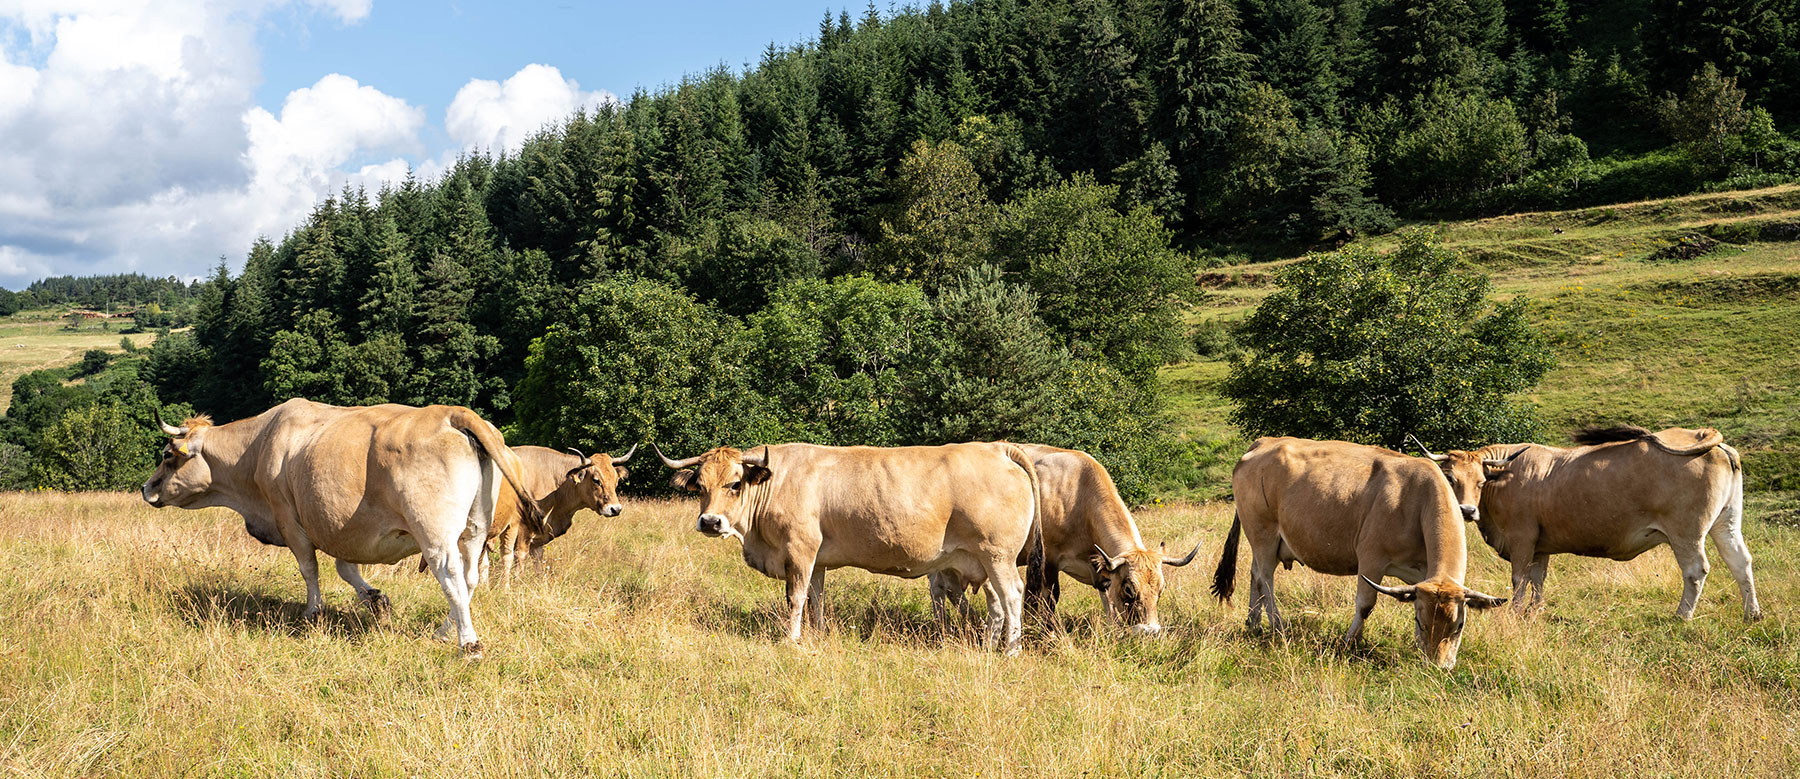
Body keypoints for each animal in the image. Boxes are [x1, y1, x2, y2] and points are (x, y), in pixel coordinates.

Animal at [140, 393, 540, 654]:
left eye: (167, 455)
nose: (146, 488)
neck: (258, 446)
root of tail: (451, 413)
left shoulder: (289, 519)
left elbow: (310, 569)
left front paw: (313, 612)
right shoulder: (341, 527)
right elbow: (346, 569)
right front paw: (376, 600)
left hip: (436, 534)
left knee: (452, 576)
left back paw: (467, 641)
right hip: (474, 528)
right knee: (471, 576)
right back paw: (446, 629)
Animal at [489, 442, 637, 582]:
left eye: (616, 480)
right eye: (596, 480)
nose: (615, 509)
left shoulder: (539, 538)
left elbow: (538, 563)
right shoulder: (522, 529)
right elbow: (520, 558)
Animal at [655, 440, 1044, 651]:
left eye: (735, 483)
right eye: (699, 484)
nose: (710, 522)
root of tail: (997, 448)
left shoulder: (800, 549)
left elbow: (795, 597)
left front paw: (792, 639)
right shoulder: (817, 560)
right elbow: (816, 599)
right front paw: (816, 634)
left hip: (998, 556)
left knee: (1012, 597)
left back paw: (1011, 651)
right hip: (980, 561)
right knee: (997, 606)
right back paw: (989, 646)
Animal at [1209, 437, 1504, 669]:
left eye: (1458, 626)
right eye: (1420, 622)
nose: (1438, 666)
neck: (1415, 499)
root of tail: (1264, 442)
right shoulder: (1371, 559)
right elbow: (1365, 605)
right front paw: (1350, 642)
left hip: (1262, 541)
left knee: (1254, 574)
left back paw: (1253, 623)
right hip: (1264, 535)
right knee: (1265, 580)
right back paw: (1278, 626)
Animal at [1418, 424, 1756, 618]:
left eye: (1480, 481)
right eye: (1451, 478)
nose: (1466, 511)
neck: (1508, 475)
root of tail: (1707, 438)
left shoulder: (1521, 538)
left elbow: (1520, 578)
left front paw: (1514, 612)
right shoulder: (1541, 544)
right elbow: (1538, 578)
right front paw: (1535, 610)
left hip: (1686, 533)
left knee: (1696, 571)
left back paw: (1682, 615)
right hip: (1726, 524)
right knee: (1741, 562)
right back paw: (1751, 613)